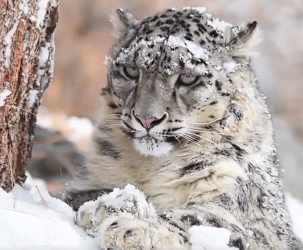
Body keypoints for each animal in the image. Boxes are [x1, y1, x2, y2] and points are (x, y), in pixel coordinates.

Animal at [66, 6, 302, 249]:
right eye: (131, 70)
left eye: (188, 77)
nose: (146, 119)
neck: (149, 168)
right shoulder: (90, 181)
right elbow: (82, 196)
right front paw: (112, 204)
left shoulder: (253, 222)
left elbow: (202, 222)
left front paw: (128, 227)